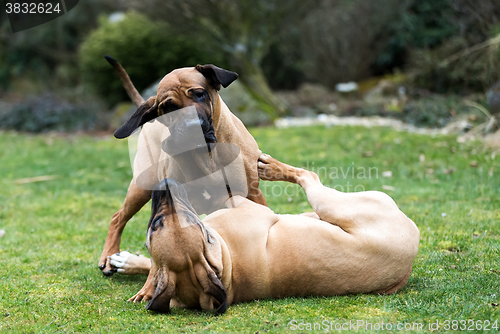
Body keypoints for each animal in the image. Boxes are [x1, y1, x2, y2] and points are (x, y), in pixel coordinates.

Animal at [99, 58, 268, 276]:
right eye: (170, 106)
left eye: (200, 94)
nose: (192, 126)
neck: (207, 154)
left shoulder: (252, 193)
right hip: (142, 186)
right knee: (117, 218)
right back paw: (108, 255)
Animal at [110, 154, 422, 314]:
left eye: (155, 225)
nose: (165, 185)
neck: (228, 265)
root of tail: (406, 266)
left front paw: (133, 265)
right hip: (333, 203)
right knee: (308, 177)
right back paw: (274, 168)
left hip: (325, 206)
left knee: (309, 179)